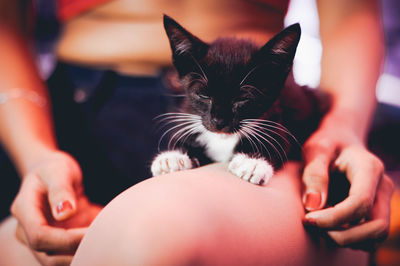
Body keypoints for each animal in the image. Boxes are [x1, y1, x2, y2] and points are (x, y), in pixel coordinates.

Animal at [150, 14, 328, 185]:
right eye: (203, 95)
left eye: (243, 99)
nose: (219, 121)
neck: (222, 140)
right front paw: (174, 156)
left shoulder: (276, 114)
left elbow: (278, 140)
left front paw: (253, 162)